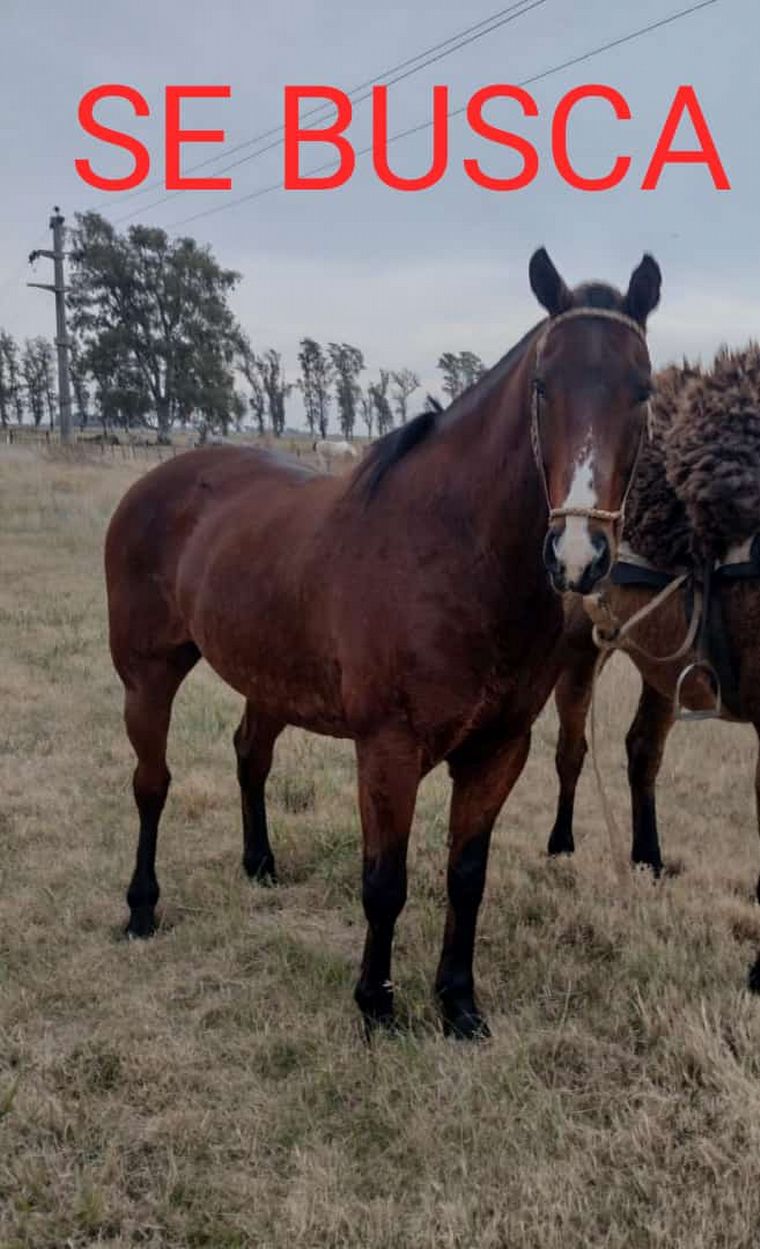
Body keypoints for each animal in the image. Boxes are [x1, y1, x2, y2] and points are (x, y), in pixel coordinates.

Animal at [105, 247, 661, 1038]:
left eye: (642, 389)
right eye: (543, 385)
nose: (578, 556)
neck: (453, 552)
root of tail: (155, 482)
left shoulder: (499, 749)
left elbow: (467, 877)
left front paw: (458, 1002)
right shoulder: (388, 749)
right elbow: (385, 882)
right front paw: (375, 1003)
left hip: (268, 678)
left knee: (250, 755)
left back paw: (260, 863)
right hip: (146, 675)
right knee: (151, 784)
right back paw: (142, 907)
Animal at [546, 344, 760, 990]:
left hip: (665, 667)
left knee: (642, 750)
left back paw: (649, 857)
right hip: (577, 649)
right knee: (572, 749)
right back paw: (561, 845)